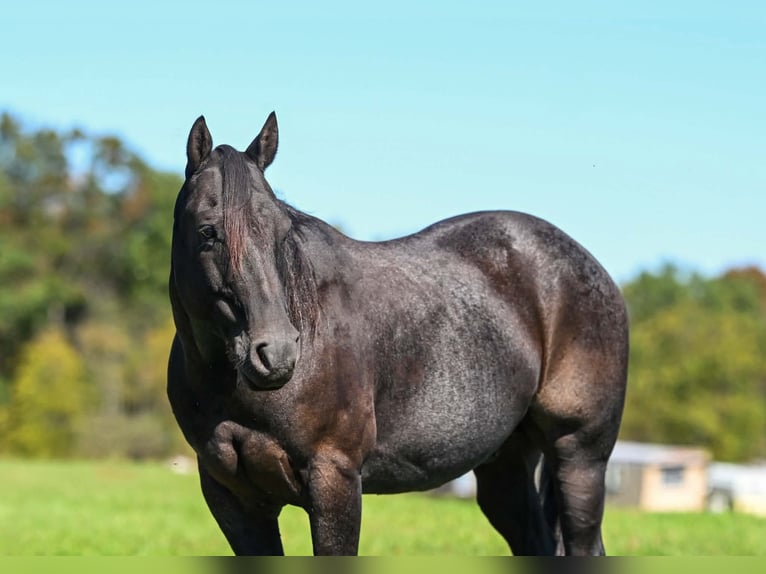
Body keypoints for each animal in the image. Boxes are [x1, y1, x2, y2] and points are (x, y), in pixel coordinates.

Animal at [167, 112, 629, 556]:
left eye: (283, 232)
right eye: (208, 232)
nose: (276, 354)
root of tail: (591, 268)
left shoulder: (335, 480)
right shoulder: (232, 497)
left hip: (579, 458)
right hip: (506, 465)